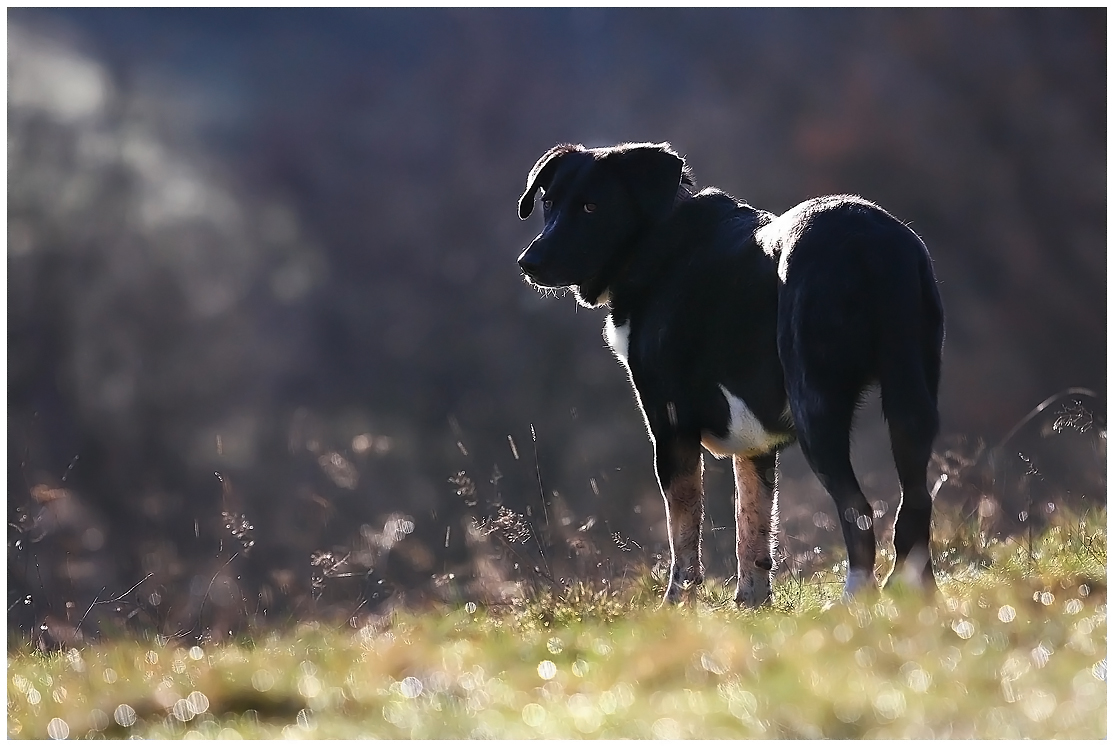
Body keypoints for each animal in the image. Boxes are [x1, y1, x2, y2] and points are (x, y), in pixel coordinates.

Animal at [512, 143, 941, 606]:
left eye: (591, 206)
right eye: (549, 203)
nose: (528, 262)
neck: (657, 246)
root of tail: (871, 243)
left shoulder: (671, 429)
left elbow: (683, 537)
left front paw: (676, 607)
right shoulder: (755, 445)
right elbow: (752, 530)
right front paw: (753, 606)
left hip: (815, 407)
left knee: (858, 510)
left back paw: (854, 601)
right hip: (911, 404)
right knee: (915, 506)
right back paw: (917, 599)